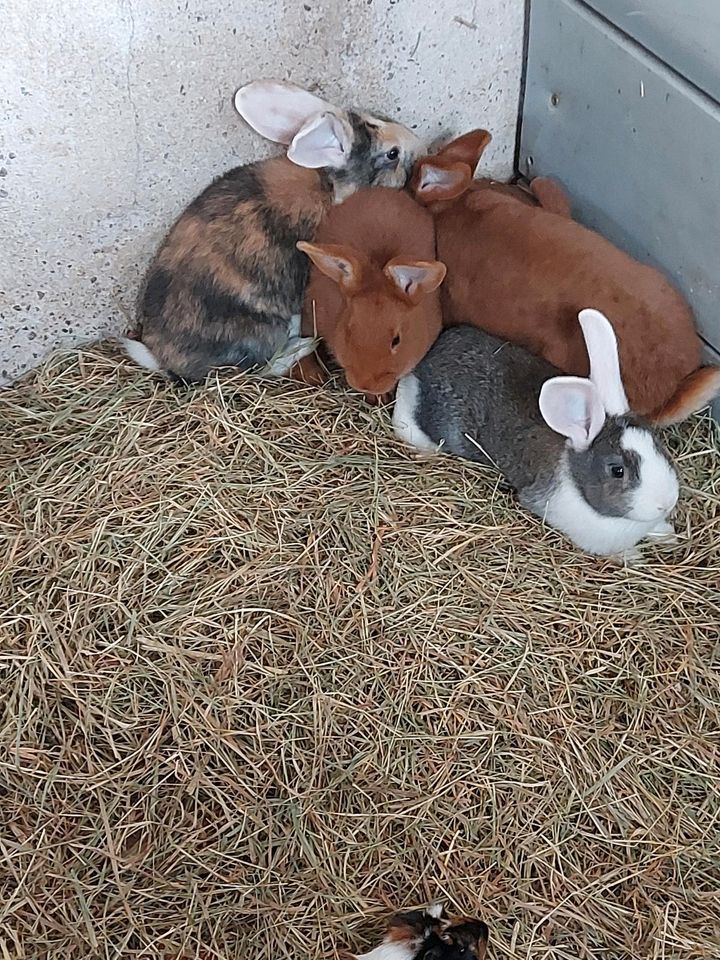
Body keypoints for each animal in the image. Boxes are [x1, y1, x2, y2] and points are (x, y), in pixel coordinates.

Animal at [121, 79, 420, 384]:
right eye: (392, 154)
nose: (416, 141)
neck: (329, 187)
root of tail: (164, 359)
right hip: (261, 333)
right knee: (261, 366)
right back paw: (303, 346)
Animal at [394, 308, 680, 564]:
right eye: (617, 471)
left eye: (658, 446)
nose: (666, 503)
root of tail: (431, 355)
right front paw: (632, 557)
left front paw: (668, 534)